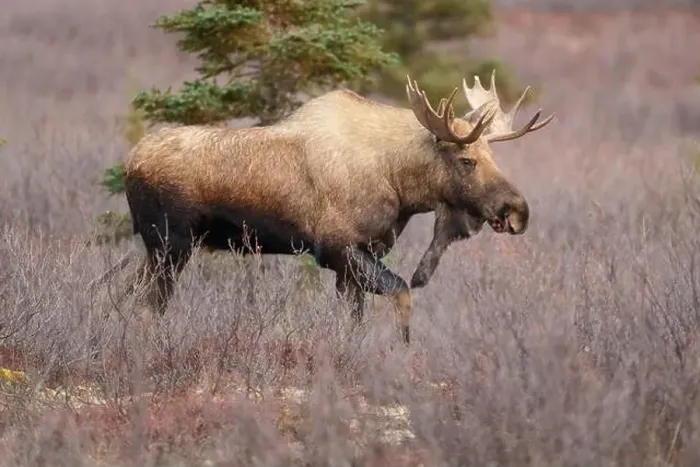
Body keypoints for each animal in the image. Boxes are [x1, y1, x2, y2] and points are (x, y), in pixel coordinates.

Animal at [112, 71, 554, 344]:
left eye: (493, 156)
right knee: (149, 306)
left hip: (158, 249)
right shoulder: (338, 249)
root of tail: (130, 164)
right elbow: (402, 294)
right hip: (172, 245)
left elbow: (355, 319)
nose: (518, 210)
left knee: (122, 293)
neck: (400, 183)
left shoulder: (358, 258)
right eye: (467, 160)